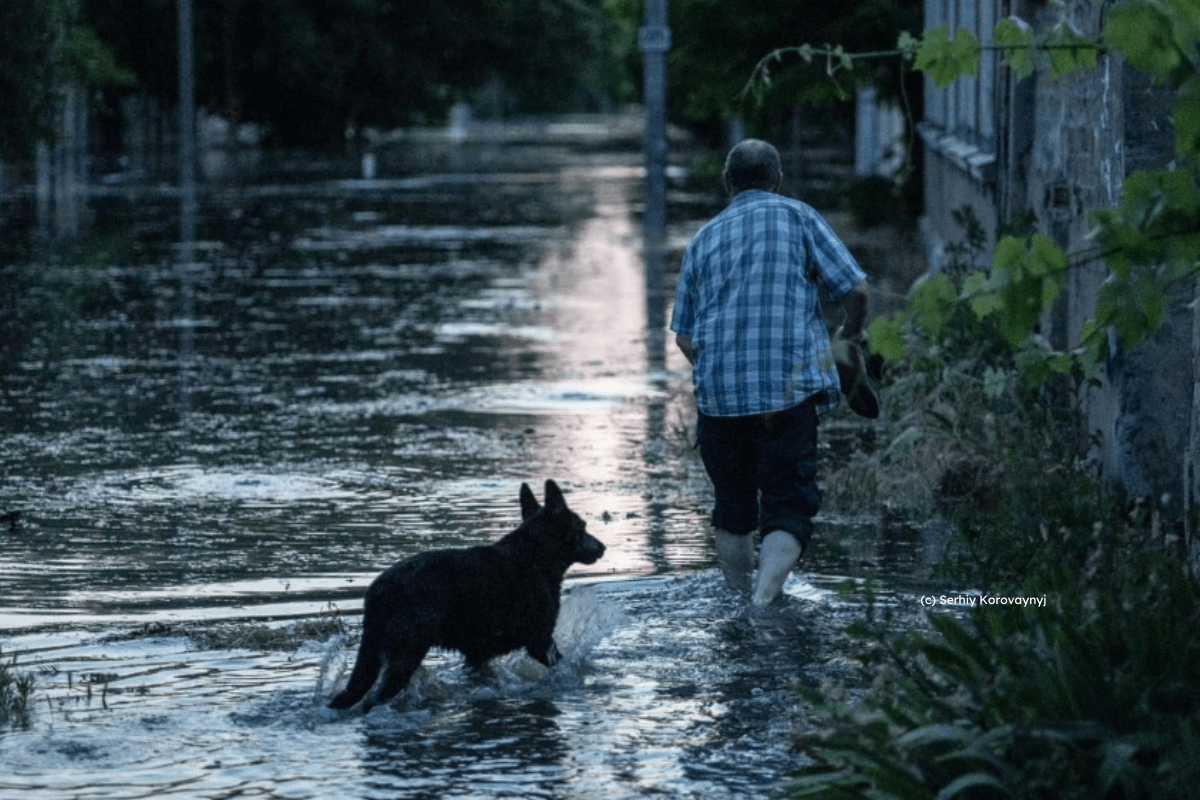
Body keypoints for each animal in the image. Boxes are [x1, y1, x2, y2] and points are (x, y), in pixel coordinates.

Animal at [328, 479, 604, 710]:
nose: (602, 547)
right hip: (406, 654)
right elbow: (564, 665)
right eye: (582, 527)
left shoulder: (478, 655)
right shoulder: (541, 642)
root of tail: (380, 591)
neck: (536, 557)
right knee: (373, 699)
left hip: (372, 656)